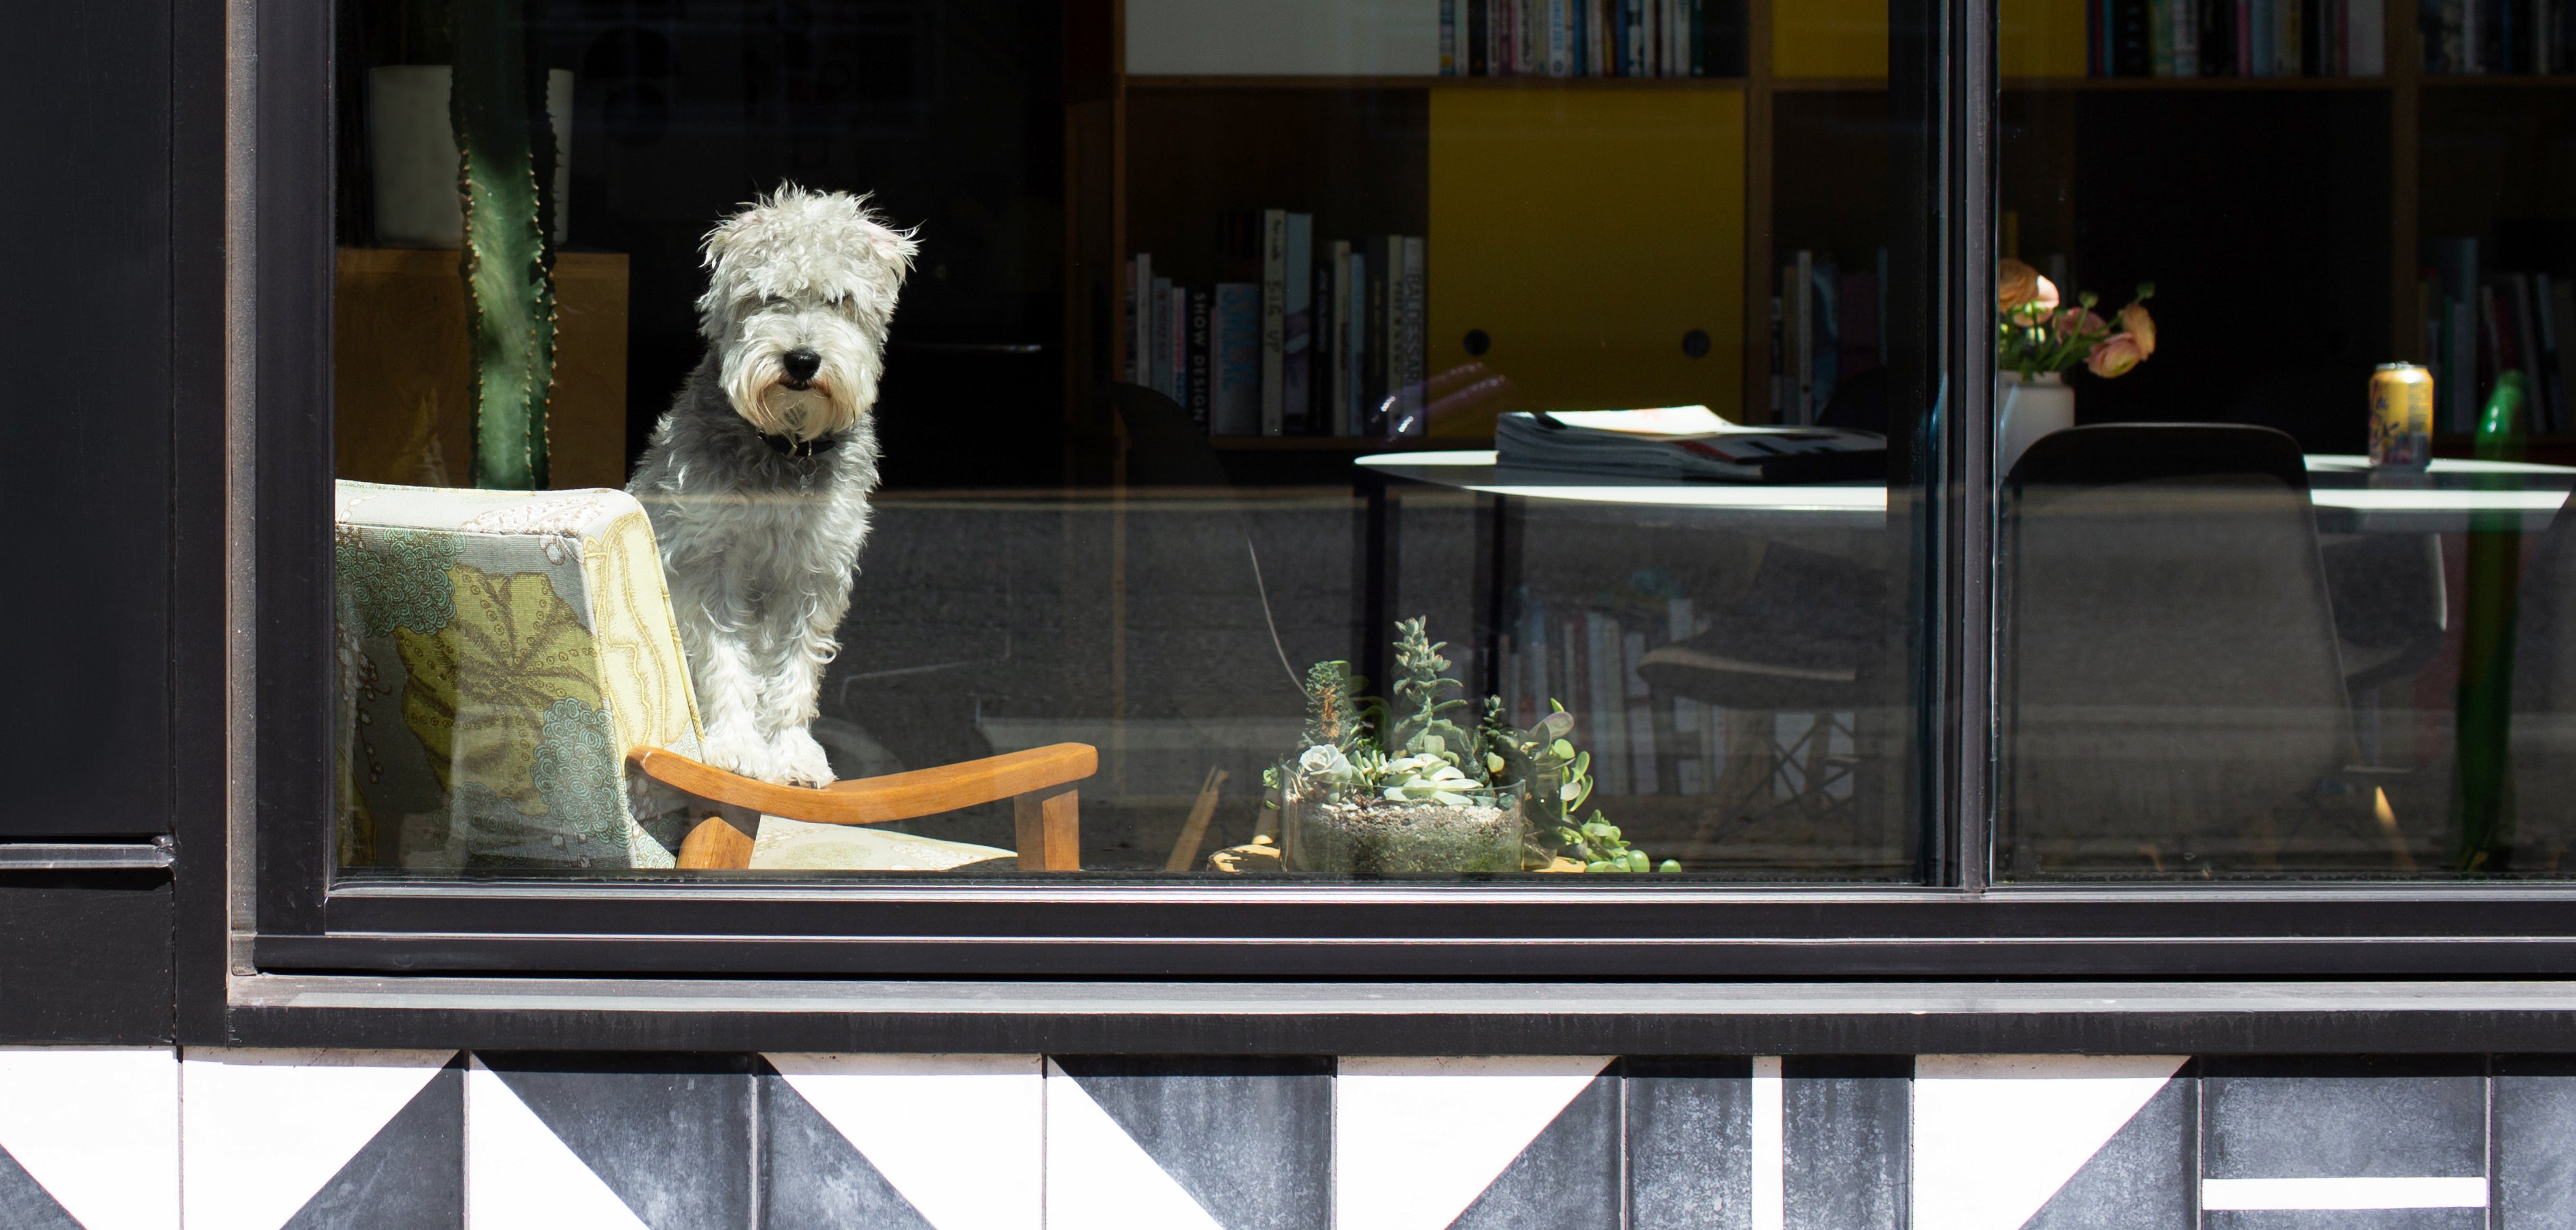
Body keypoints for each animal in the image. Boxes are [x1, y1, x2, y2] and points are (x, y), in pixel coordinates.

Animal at [628, 187, 922, 784]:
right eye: (770, 297)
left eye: (840, 300)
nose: (802, 359)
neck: (784, 448)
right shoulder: (706, 561)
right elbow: (723, 658)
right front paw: (738, 746)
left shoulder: (813, 571)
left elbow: (794, 668)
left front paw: (789, 751)